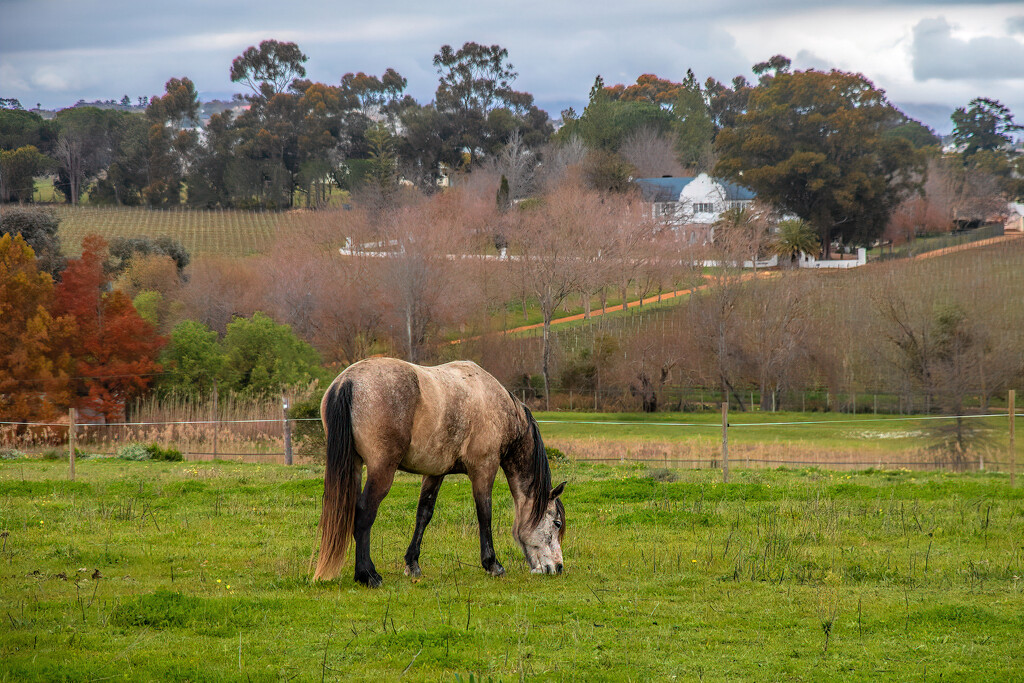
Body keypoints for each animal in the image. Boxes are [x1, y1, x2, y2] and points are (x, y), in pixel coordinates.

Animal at [315, 358, 565, 589]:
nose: (558, 567)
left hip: (355, 467)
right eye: (557, 523)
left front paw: (412, 564)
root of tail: (348, 381)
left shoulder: (434, 473)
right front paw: (492, 564)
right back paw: (367, 575)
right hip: (381, 470)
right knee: (364, 513)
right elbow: (485, 513)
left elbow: (424, 514)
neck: (498, 405)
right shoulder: (484, 469)